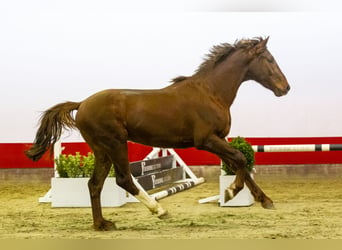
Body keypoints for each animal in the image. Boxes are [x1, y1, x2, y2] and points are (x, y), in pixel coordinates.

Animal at [25, 37, 290, 230]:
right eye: (269, 59)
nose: (285, 88)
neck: (211, 92)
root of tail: (81, 104)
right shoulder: (206, 140)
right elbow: (241, 159)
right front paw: (231, 192)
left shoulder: (219, 138)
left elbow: (238, 164)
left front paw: (265, 200)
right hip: (115, 144)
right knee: (123, 180)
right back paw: (159, 211)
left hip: (102, 150)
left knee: (95, 184)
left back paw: (102, 224)